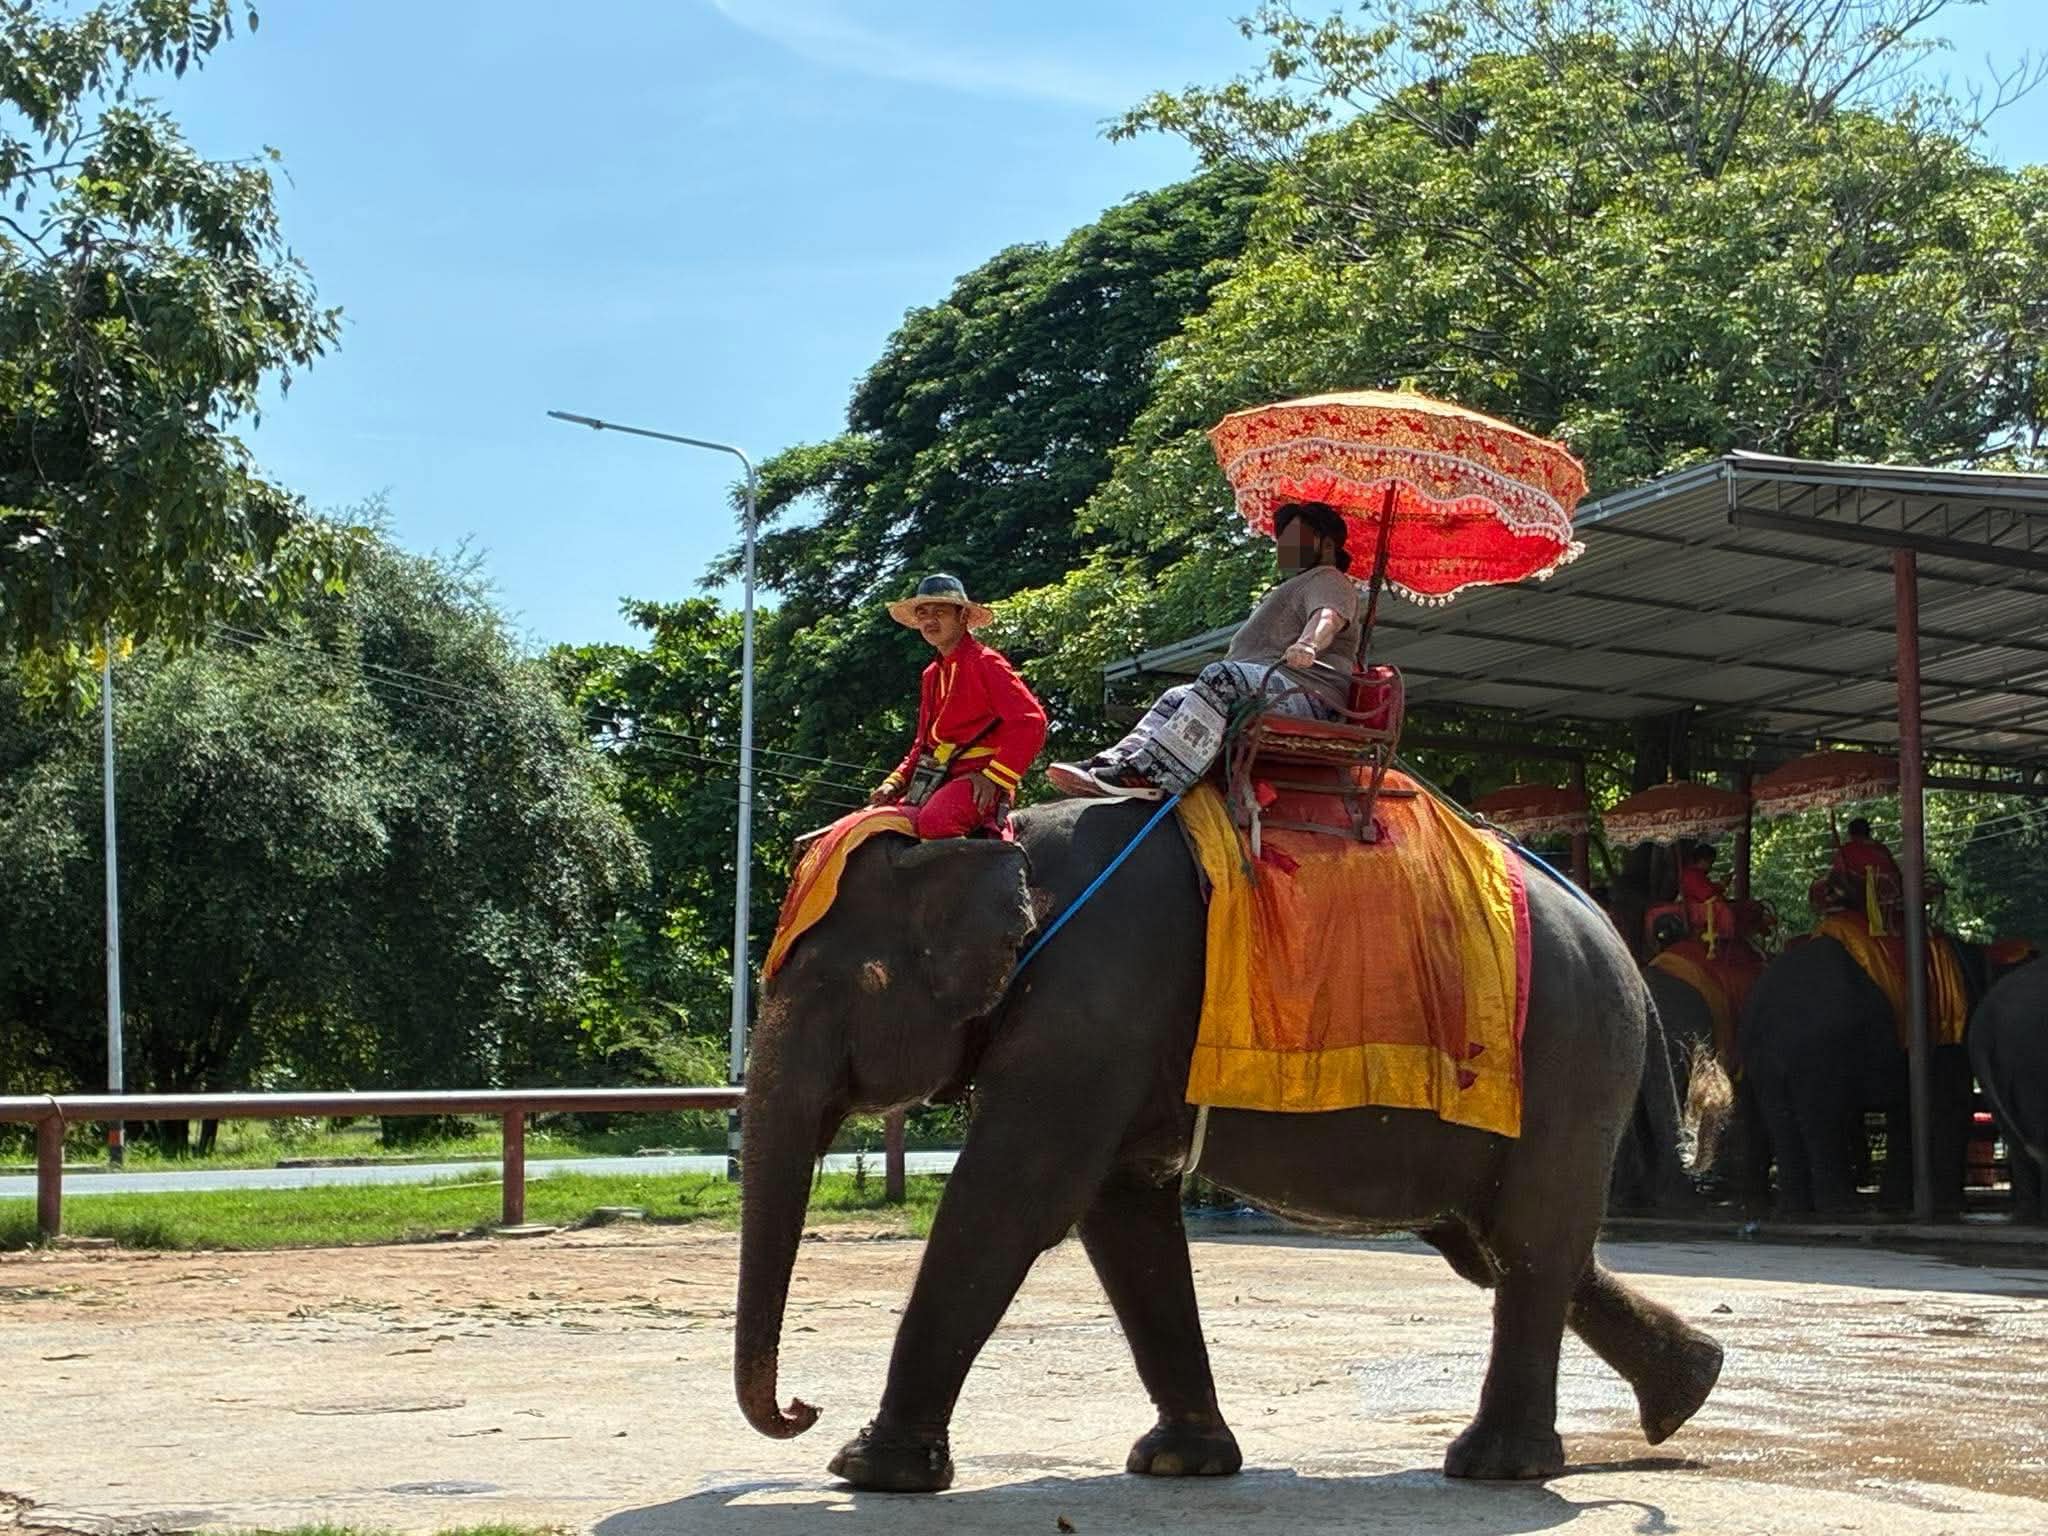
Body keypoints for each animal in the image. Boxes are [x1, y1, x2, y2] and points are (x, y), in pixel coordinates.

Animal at [734, 798, 1723, 1492]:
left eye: (840, 984)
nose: (801, 1407)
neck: (1002, 842)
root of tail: (1620, 945)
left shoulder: (1093, 1006)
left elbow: (1012, 1200)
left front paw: (868, 1472)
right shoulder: (1108, 1040)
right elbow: (1122, 1217)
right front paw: (1180, 1461)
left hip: (1567, 1059)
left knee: (1528, 1241)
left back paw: (1496, 1466)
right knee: (1500, 1245)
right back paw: (1689, 1390)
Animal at [1739, 936, 2009, 1216]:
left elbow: (1906, 1109)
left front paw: (1895, 1204)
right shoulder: (1951, 1031)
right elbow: (1950, 1101)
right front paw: (1951, 1207)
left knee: (1778, 1118)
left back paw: (1790, 1210)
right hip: (1817, 1050)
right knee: (1822, 1116)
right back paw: (1843, 1207)